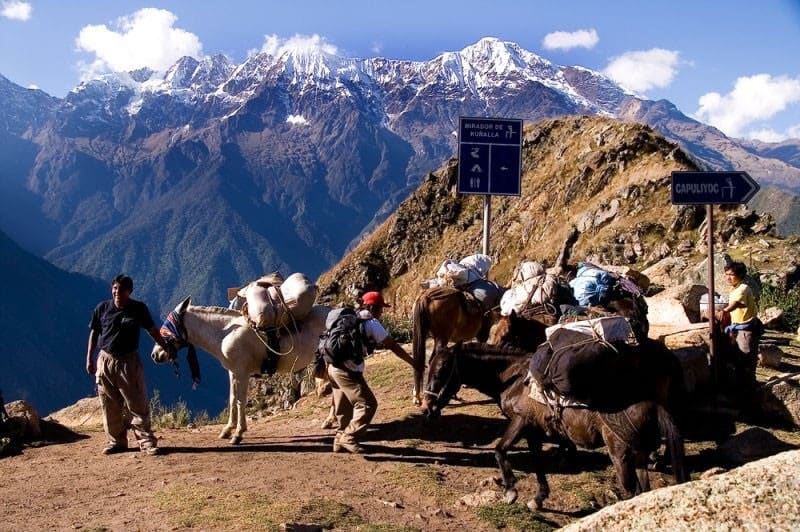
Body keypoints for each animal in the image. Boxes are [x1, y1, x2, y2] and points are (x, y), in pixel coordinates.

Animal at [152, 298, 330, 442]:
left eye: (167, 326)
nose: (155, 355)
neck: (225, 333)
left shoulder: (242, 373)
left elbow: (240, 401)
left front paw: (238, 433)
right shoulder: (232, 372)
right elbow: (232, 399)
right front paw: (227, 430)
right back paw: (329, 422)